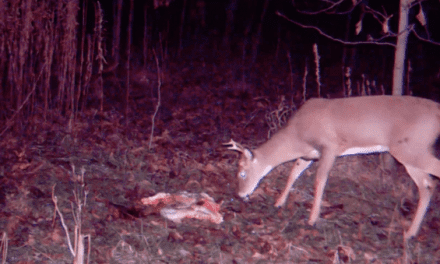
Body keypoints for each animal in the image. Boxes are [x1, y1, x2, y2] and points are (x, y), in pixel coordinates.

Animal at [225, 96, 440, 240]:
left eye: (242, 173)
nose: (240, 194)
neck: (296, 137)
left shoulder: (330, 146)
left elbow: (319, 180)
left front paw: (312, 219)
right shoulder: (309, 154)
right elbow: (294, 172)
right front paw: (279, 202)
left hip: (410, 148)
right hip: (410, 153)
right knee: (427, 185)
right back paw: (410, 233)